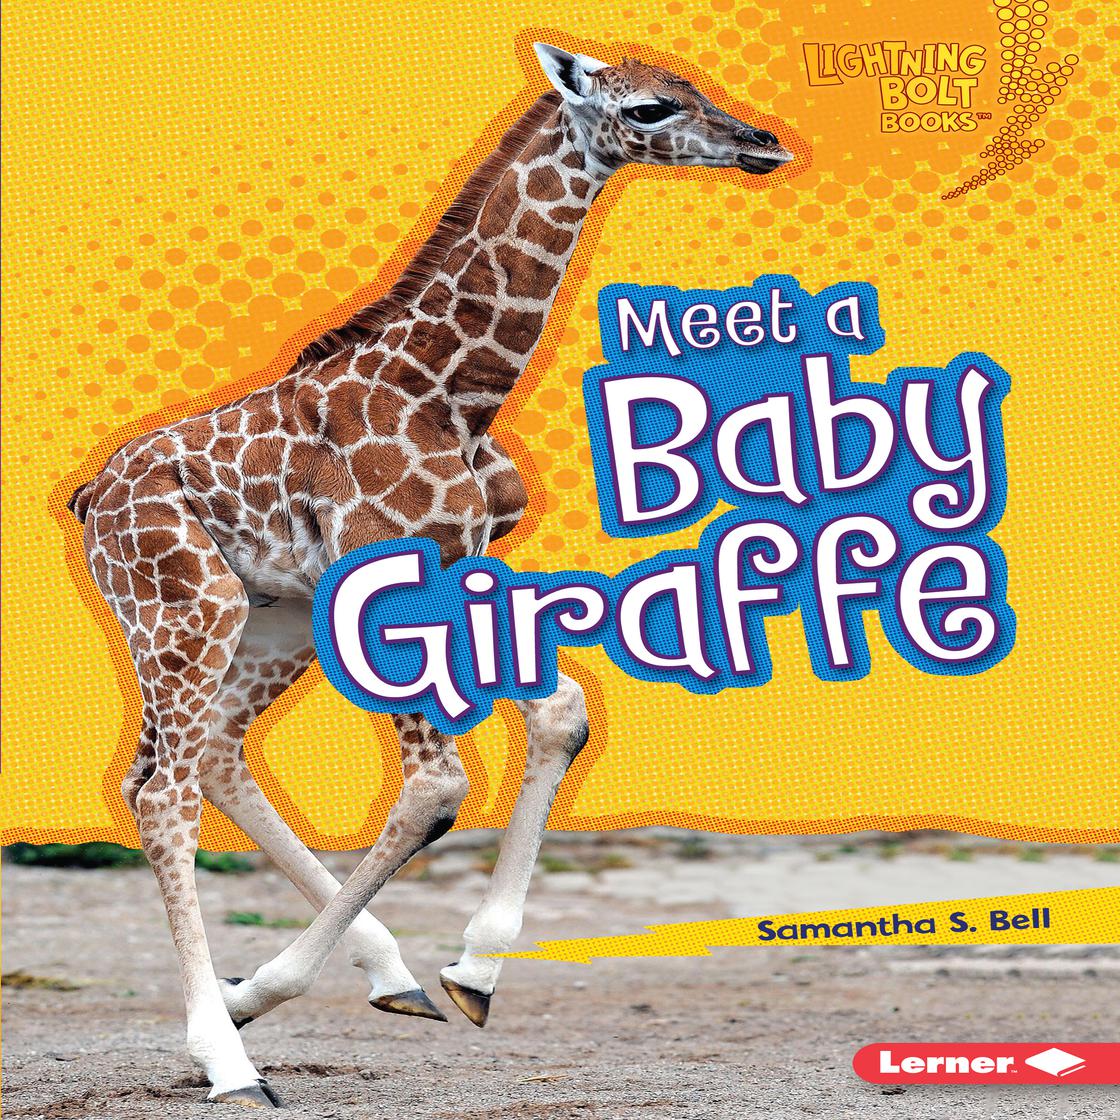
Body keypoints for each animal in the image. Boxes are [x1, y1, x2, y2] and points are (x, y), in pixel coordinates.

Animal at [68, 43, 793, 1106]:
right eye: (650, 110)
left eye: (695, 87)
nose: (763, 142)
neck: (456, 387)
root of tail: (90, 499)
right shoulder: (389, 570)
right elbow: (436, 789)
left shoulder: (463, 563)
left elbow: (562, 715)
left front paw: (471, 970)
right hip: (185, 608)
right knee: (162, 793)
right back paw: (228, 1057)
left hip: (271, 613)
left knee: (208, 757)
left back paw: (355, 982)